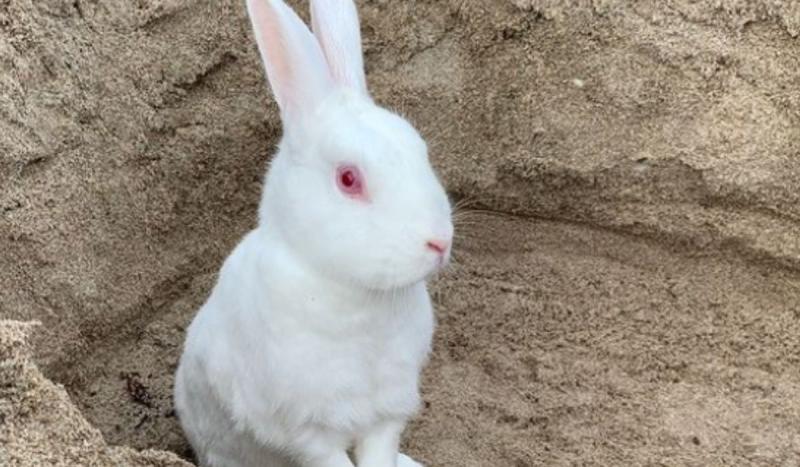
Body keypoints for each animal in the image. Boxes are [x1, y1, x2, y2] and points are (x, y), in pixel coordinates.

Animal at [173, 0, 454, 466]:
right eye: (348, 179)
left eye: (420, 149)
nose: (440, 241)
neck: (352, 294)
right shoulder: (308, 431)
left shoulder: (386, 413)